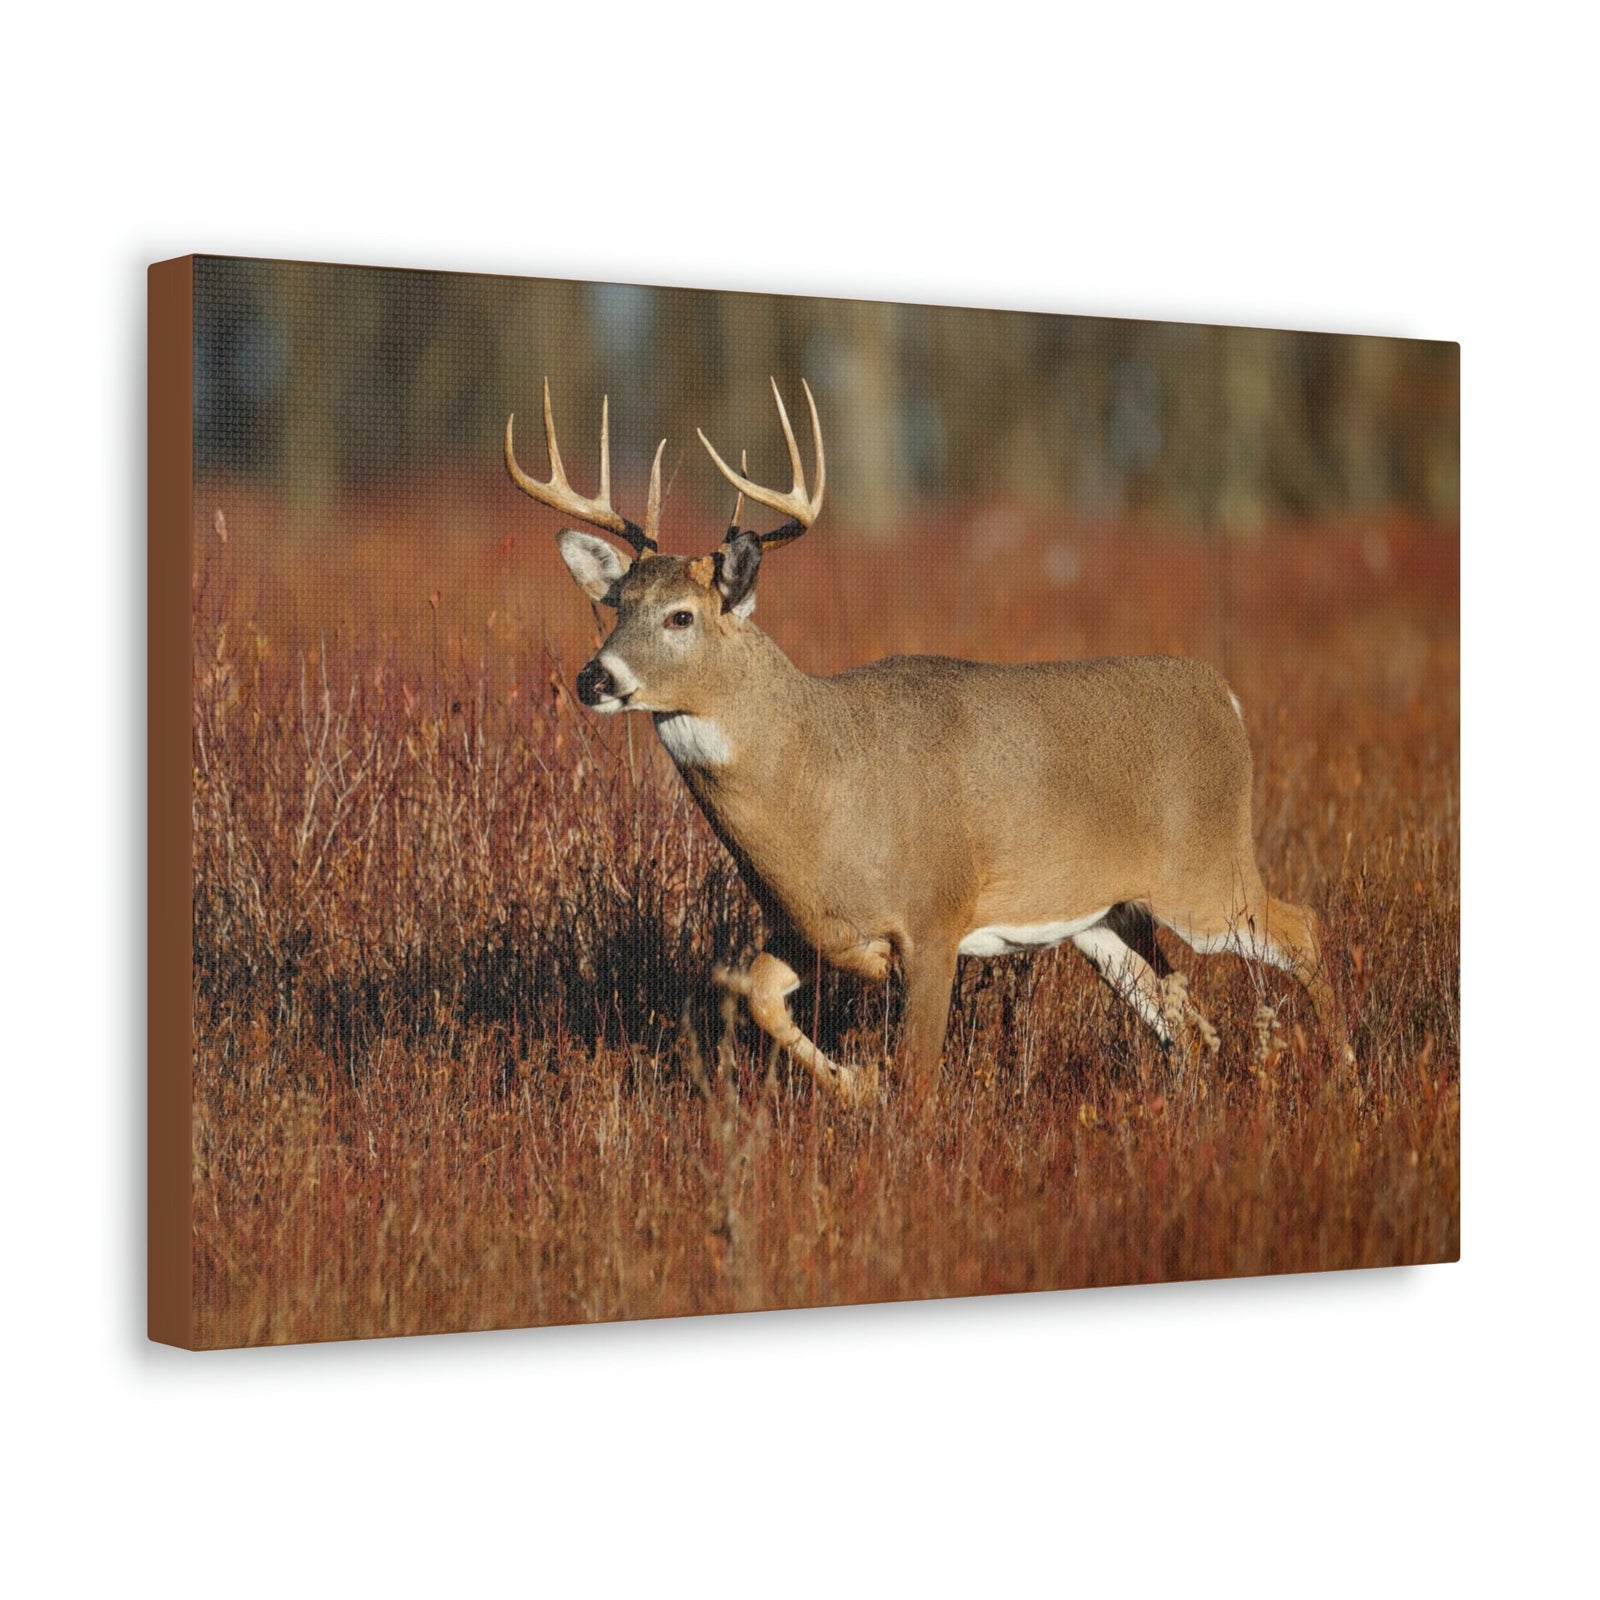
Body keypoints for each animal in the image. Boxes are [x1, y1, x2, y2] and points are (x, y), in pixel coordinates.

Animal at [505, 379, 1350, 1105]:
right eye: (616, 604)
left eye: (681, 616)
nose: (594, 677)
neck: (821, 785)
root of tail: (1225, 696)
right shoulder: (815, 929)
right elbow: (754, 994)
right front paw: (855, 1084)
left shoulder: (936, 915)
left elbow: (918, 1078)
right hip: (1106, 915)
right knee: (1183, 1017)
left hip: (1206, 873)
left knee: (1303, 929)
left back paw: (1345, 1074)